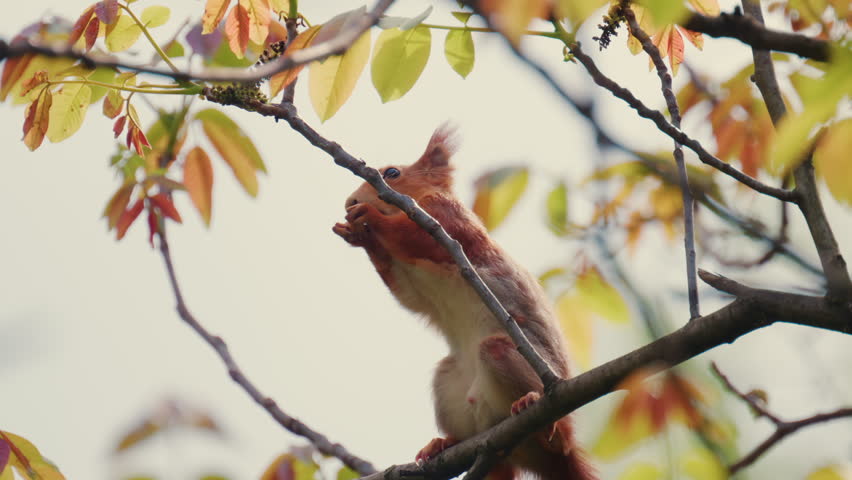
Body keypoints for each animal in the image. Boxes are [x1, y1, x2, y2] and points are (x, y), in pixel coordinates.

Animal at [332, 125, 596, 480]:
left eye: (392, 173)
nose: (351, 201)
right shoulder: (417, 284)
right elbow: (406, 293)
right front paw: (358, 235)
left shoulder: (448, 222)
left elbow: (416, 237)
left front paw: (369, 218)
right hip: (449, 384)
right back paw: (443, 443)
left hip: (510, 357)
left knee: (555, 432)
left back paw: (539, 414)